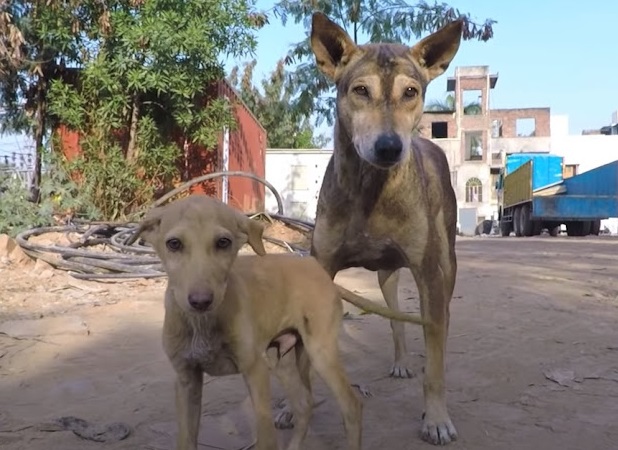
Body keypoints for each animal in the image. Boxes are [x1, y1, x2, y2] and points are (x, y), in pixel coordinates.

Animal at [130, 196, 360, 450]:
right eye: (174, 244)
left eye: (223, 242)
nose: (201, 301)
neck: (202, 324)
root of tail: (314, 264)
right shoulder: (186, 380)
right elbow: (186, 440)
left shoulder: (255, 370)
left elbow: (266, 439)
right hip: (280, 360)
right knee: (304, 404)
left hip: (320, 352)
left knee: (351, 405)